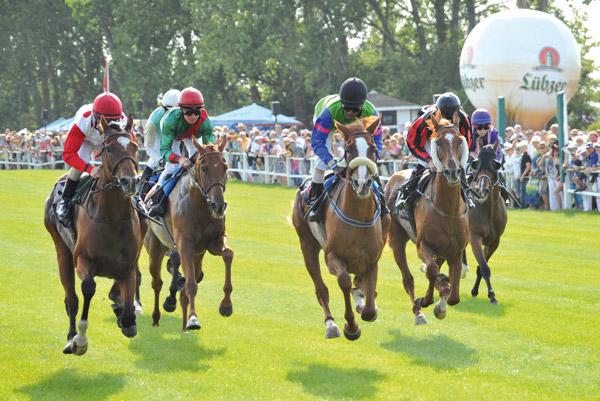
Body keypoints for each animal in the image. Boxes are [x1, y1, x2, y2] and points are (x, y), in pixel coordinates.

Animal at [44, 115, 142, 354]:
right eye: (109, 149)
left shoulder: (128, 265)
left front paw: (125, 315)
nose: (130, 181)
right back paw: (71, 337)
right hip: (62, 251)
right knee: (71, 299)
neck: (112, 217)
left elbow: (128, 311)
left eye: (135, 147)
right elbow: (88, 288)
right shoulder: (82, 259)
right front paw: (80, 340)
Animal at [144, 136, 233, 330]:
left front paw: (226, 305)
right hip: (155, 245)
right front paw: (193, 319)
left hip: (196, 253)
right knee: (157, 283)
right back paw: (157, 315)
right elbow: (190, 283)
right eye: (204, 168)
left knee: (192, 274)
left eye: (225, 167)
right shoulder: (185, 243)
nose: (218, 205)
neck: (200, 206)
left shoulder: (214, 241)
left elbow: (228, 255)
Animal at [290, 115, 390, 338]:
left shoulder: (373, 259)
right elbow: (344, 280)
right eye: (349, 149)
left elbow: (369, 309)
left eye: (373, 148)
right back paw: (331, 324)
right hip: (307, 245)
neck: (359, 217)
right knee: (321, 289)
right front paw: (351, 327)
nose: (362, 183)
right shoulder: (332, 256)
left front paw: (364, 301)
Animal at [386, 113, 472, 324]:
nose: (452, 171)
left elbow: (454, 296)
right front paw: (426, 300)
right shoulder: (423, 244)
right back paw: (419, 313)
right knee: (408, 278)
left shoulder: (456, 250)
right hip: (397, 239)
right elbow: (432, 270)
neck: (447, 208)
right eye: (438, 142)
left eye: (459, 140)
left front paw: (441, 304)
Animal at [464, 144, 506, 304]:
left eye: (496, 164)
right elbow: (484, 267)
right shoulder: (474, 236)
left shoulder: (494, 240)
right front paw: (492, 295)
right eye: (476, 163)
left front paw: (477, 291)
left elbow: (482, 267)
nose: (482, 189)